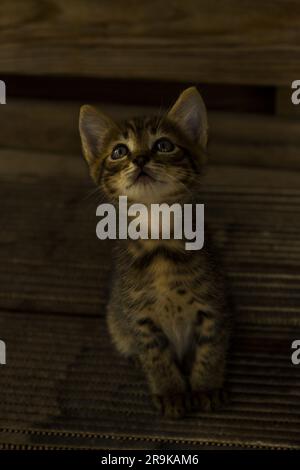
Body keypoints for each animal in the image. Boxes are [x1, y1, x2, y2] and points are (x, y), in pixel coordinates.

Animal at [78, 86, 231, 416]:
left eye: (163, 145)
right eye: (119, 151)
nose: (139, 158)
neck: (159, 240)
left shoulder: (214, 305)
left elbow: (211, 349)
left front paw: (206, 385)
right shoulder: (139, 317)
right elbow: (156, 357)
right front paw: (171, 391)